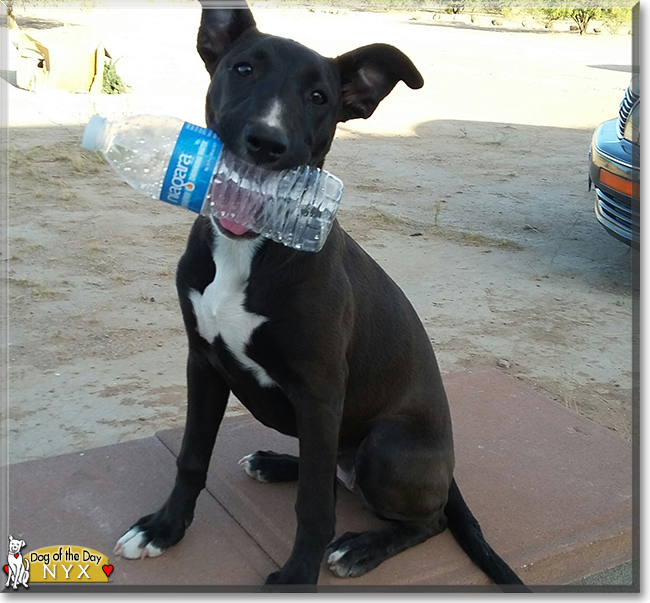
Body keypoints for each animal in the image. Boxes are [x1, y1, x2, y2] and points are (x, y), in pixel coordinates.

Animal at [114, 2, 524, 588]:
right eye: (243, 69)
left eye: (318, 97)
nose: (267, 141)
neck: (251, 245)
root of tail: (448, 474)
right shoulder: (203, 362)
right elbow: (192, 457)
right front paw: (165, 529)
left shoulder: (320, 392)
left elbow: (312, 505)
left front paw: (296, 575)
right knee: (327, 471)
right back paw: (276, 463)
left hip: (384, 445)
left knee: (424, 518)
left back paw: (362, 547)